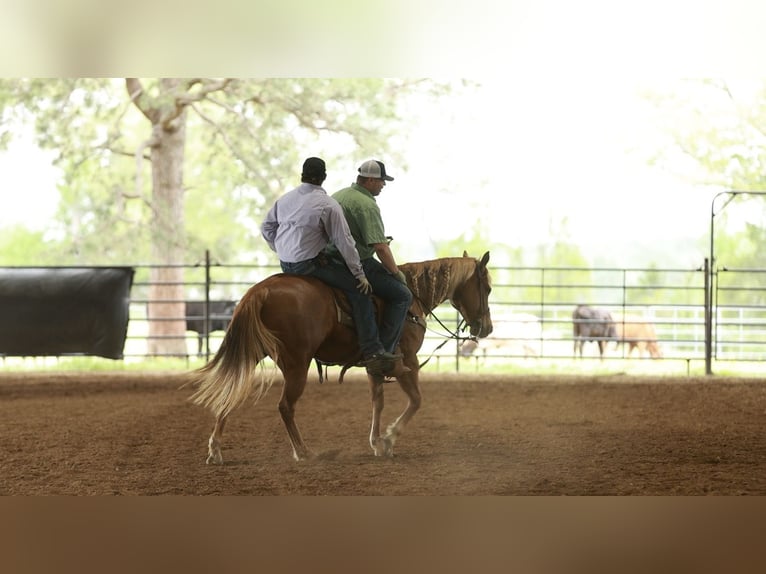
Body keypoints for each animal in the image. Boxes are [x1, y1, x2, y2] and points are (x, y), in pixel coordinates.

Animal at [187, 251, 493, 462]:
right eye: (487, 288)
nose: (487, 328)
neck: (412, 298)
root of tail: (259, 290)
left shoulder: (375, 364)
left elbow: (378, 401)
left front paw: (376, 442)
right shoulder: (408, 361)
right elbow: (416, 400)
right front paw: (390, 439)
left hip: (251, 353)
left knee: (231, 391)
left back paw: (215, 450)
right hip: (296, 363)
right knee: (285, 406)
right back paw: (303, 452)